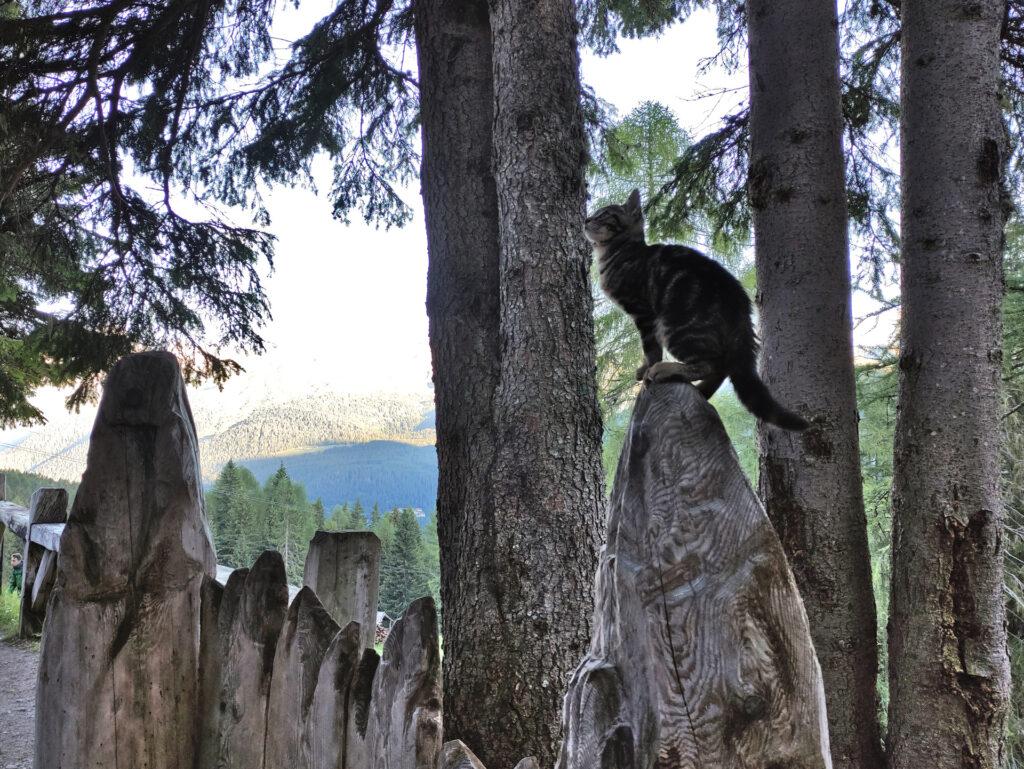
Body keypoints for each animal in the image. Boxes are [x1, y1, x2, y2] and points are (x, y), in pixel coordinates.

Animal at [585, 189, 806, 434]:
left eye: (604, 214)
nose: (586, 219)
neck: (620, 252)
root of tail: (740, 303)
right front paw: (643, 368)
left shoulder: (643, 314)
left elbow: (651, 349)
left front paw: (648, 369)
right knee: (721, 366)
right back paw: (703, 390)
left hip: (676, 326)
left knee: (710, 364)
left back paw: (666, 370)